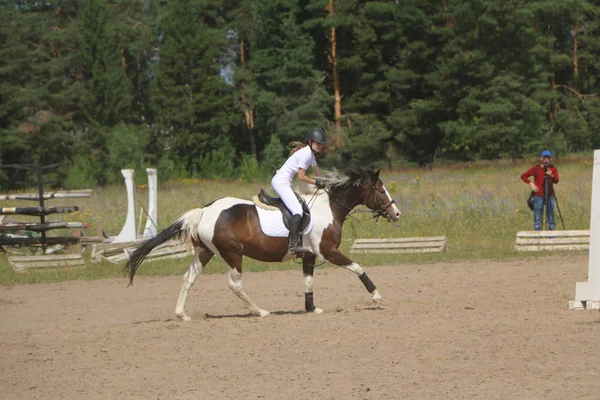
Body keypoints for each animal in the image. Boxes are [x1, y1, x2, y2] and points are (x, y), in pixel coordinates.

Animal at [124, 167, 400, 320]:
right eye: (380, 189)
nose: (396, 214)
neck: (329, 207)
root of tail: (203, 211)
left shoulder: (309, 255)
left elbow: (308, 281)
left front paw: (311, 308)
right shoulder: (327, 251)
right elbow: (358, 267)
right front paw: (376, 295)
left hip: (204, 252)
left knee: (188, 279)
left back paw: (182, 314)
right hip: (232, 254)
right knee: (235, 285)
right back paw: (261, 311)